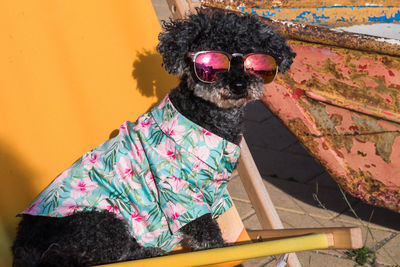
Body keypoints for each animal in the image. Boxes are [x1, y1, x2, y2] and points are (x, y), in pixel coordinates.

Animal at [12, 7, 296, 266]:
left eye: (256, 62)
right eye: (210, 62)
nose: (239, 85)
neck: (205, 119)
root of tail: (21, 248)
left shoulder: (215, 193)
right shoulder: (181, 194)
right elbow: (207, 235)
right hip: (101, 224)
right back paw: (149, 253)